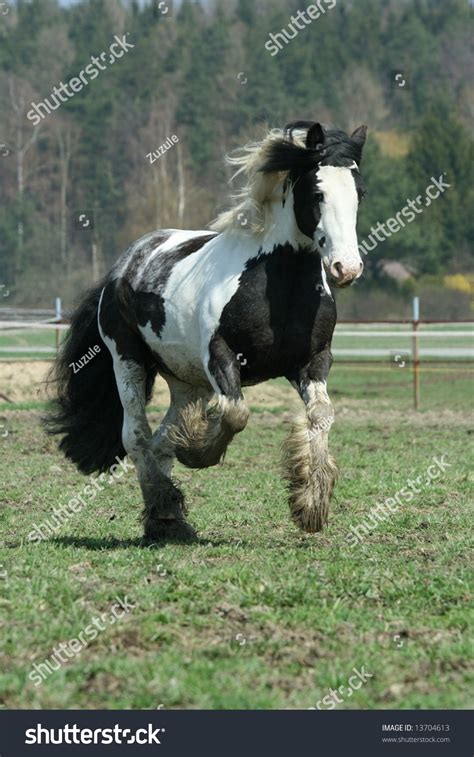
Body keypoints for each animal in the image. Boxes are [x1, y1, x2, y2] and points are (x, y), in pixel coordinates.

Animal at [46, 121, 366, 540]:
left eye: (359, 193)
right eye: (317, 192)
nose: (347, 268)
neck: (278, 283)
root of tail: (123, 265)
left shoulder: (312, 362)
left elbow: (322, 415)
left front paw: (310, 504)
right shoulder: (221, 355)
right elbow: (235, 414)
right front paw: (195, 451)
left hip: (187, 380)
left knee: (159, 439)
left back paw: (167, 516)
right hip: (127, 361)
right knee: (137, 436)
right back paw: (164, 508)